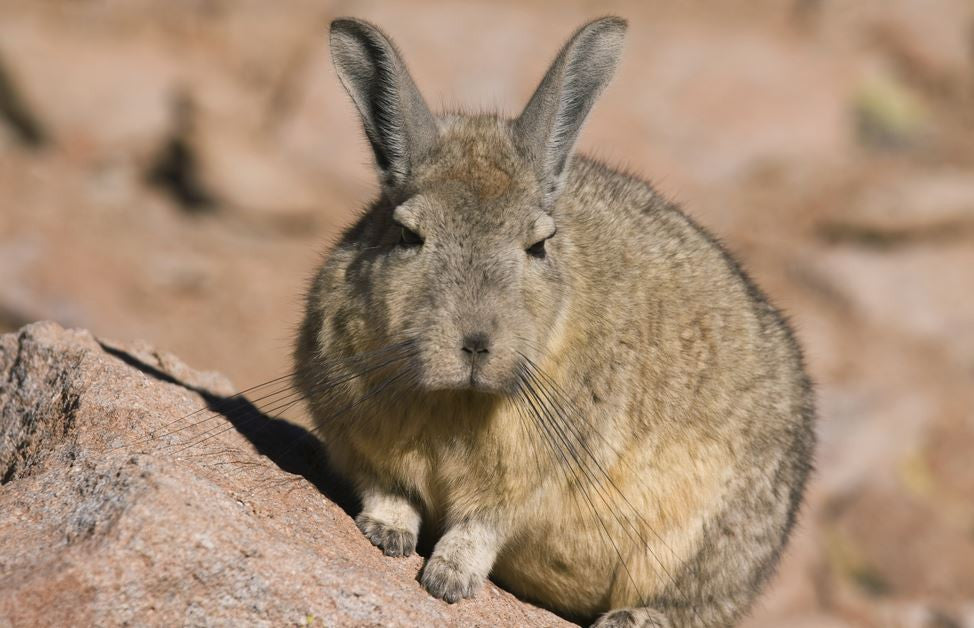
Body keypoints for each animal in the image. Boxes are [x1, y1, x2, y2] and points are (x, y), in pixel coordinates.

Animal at [293, 15, 815, 628]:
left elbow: (481, 527)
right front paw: (385, 536)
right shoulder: (353, 432)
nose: (475, 344)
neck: (456, 402)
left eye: (539, 245)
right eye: (406, 235)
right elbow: (387, 490)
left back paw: (628, 619)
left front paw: (447, 583)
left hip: (711, 544)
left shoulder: (531, 480)